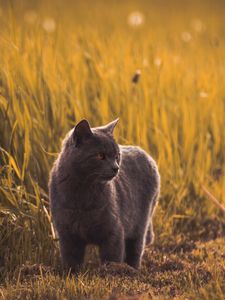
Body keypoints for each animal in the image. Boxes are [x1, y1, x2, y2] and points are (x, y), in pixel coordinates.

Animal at [49, 119, 160, 272]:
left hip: (140, 223)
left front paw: (112, 272)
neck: (82, 193)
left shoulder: (114, 231)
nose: (116, 168)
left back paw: (133, 271)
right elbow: (71, 260)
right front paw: (71, 273)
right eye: (100, 156)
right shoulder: (67, 234)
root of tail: (147, 155)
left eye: (117, 156)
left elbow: (111, 257)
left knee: (136, 249)